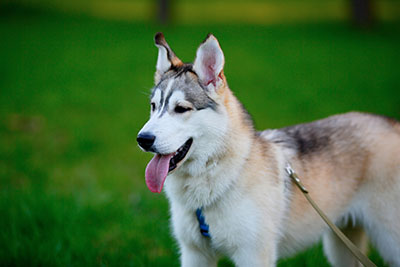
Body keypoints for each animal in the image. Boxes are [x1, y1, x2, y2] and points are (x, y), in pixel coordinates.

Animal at [138, 32, 400, 266]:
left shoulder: (253, 254)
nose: (143, 139)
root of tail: (392, 123)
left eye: (181, 108)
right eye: (153, 106)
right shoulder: (194, 253)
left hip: (387, 239)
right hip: (341, 244)